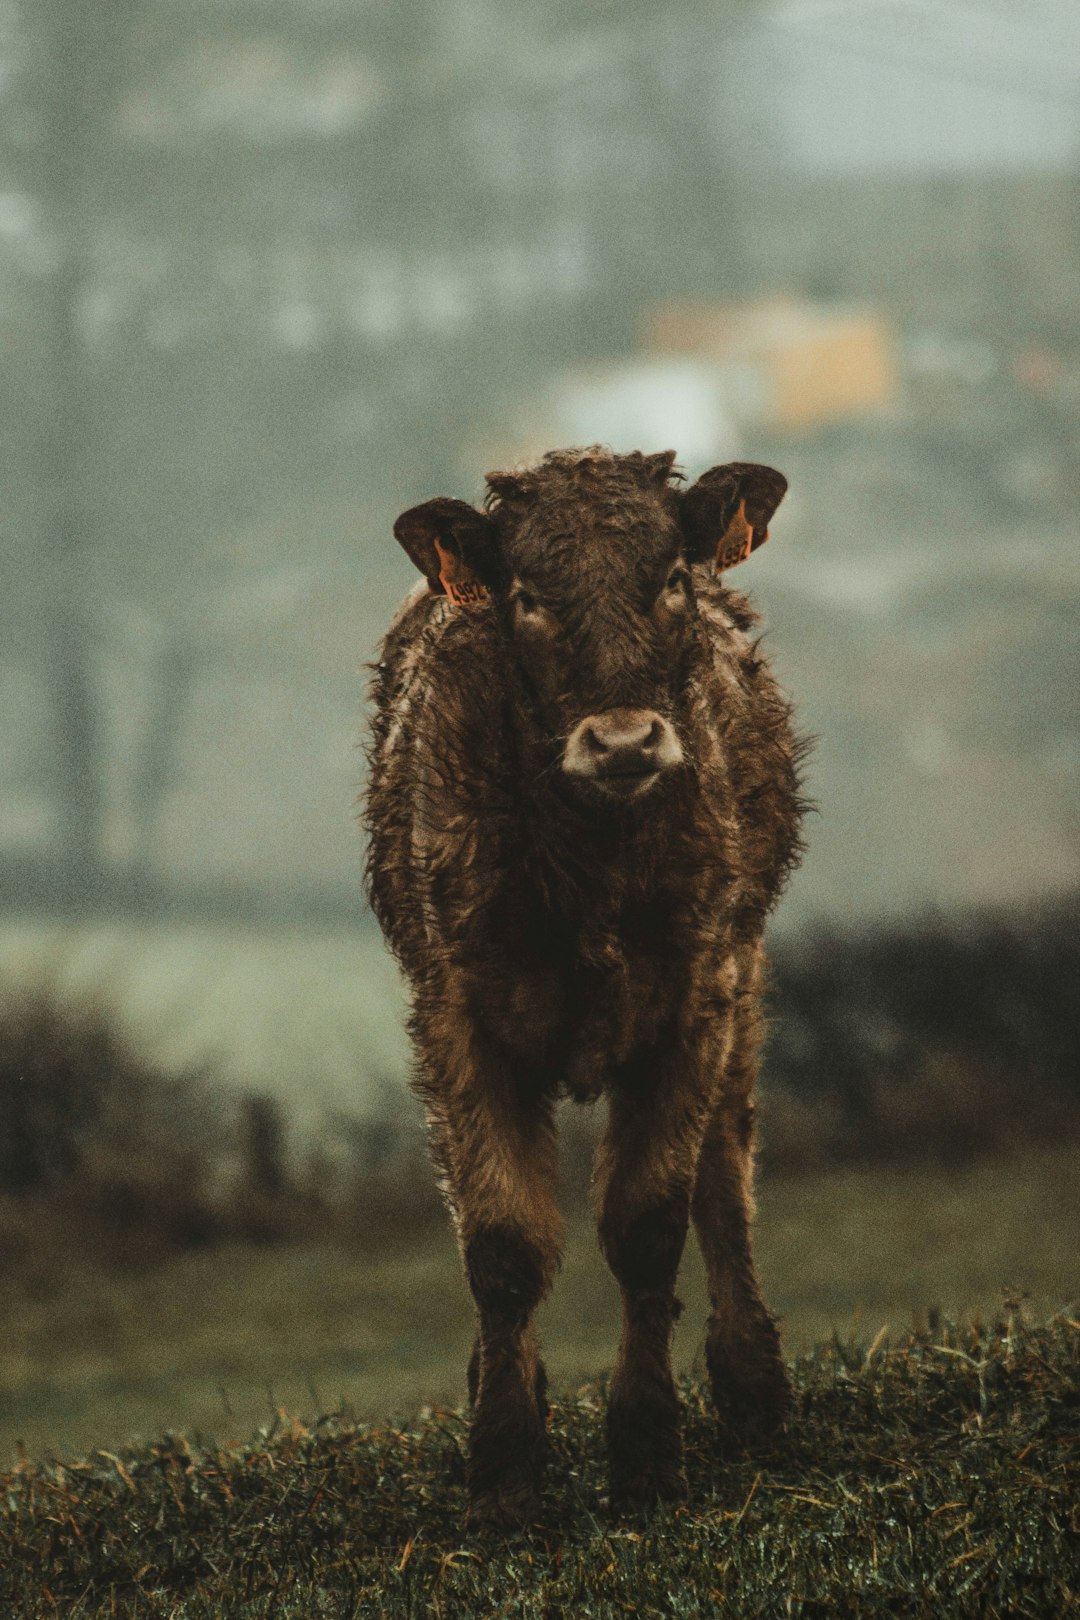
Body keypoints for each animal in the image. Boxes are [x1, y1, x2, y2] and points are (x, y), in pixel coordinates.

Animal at [362, 447, 803, 1529]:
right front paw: (503, 1465)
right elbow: (501, 1246)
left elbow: (650, 1228)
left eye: (672, 578)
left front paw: (646, 1452)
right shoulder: (456, 1014)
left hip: (744, 978)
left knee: (726, 1178)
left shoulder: (694, 998)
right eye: (526, 594)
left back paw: (753, 1390)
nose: (626, 743)